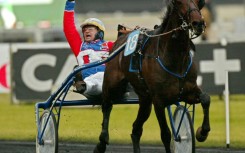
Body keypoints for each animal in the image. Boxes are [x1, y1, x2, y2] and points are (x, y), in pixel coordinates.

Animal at [94, 0, 211, 152]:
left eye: (199, 2)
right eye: (179, 2)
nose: (198, 23)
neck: (174, 58)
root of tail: (121, 36)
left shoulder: (188, 91)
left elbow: (206, 98)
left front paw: (202, 132)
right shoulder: (159, 101)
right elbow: (166, 134)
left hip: (145, 99)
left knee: (136, 129)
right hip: (112, 84)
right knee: (107, 106)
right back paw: (102, 141)